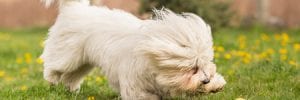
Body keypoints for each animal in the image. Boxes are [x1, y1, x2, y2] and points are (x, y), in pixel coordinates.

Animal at [41, 0, 226, 98]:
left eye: (205, 64)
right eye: (192, 68)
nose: (206, 80)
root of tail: (74, 8)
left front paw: (215, 84)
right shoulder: (135, 84)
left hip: (83, 62)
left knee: (71, 76)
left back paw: (70, 90)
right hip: (68, 54)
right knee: (54, 66)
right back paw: (52, 80)